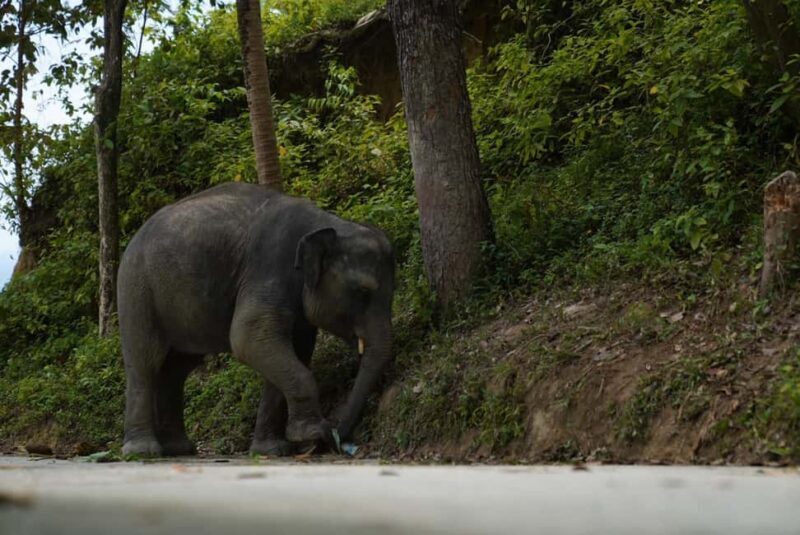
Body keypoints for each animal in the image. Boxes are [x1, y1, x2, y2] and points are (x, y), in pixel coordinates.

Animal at [118, 182, 395, 456]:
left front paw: (271, 450)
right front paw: (311, 435)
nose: (334, 437)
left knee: (177, 369)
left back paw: (179, 449)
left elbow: (294, 350)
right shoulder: (269, 267)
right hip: (136, 289)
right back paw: (142, 452)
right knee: (145, 362)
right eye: (363, 291)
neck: (327, 222)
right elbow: (248, 338)